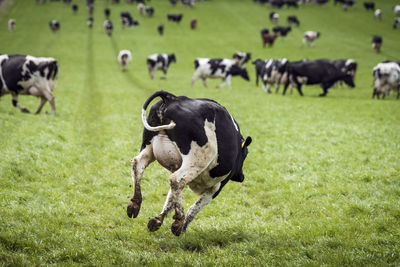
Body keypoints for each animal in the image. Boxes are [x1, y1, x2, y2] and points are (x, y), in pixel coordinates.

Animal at [126, 90, 252, 237]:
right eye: (245, 154)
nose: (241, 177)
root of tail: (173, 98)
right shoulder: (216, 187)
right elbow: (195, 207)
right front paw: (182, 226)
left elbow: (171, 198)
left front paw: (157, 220)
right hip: (198, 159)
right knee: (175, 180)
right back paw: (179, 220)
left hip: (149, 147)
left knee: (138, 164)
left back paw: (135, 205)